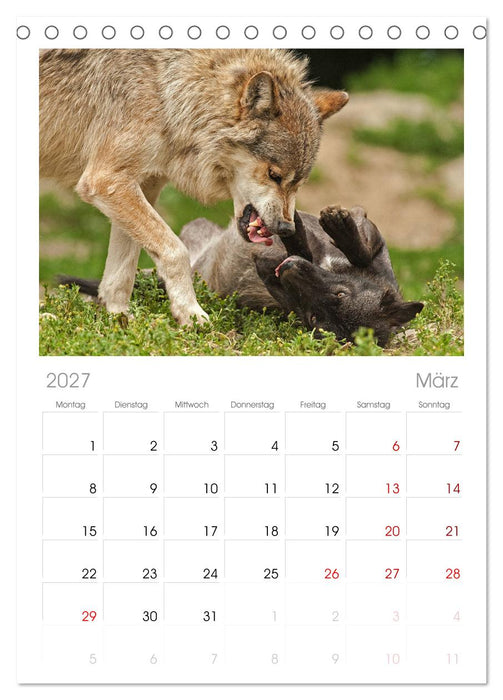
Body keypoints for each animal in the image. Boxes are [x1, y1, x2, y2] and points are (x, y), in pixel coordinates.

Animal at [40, 49, 348, 325]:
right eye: (274, 175)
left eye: (299, 183)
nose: (286, 228)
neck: (168, 92)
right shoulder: (106, 180)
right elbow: (176, 251)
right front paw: (190, 313)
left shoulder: (141, 186)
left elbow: (123, 268)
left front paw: (118, 318)